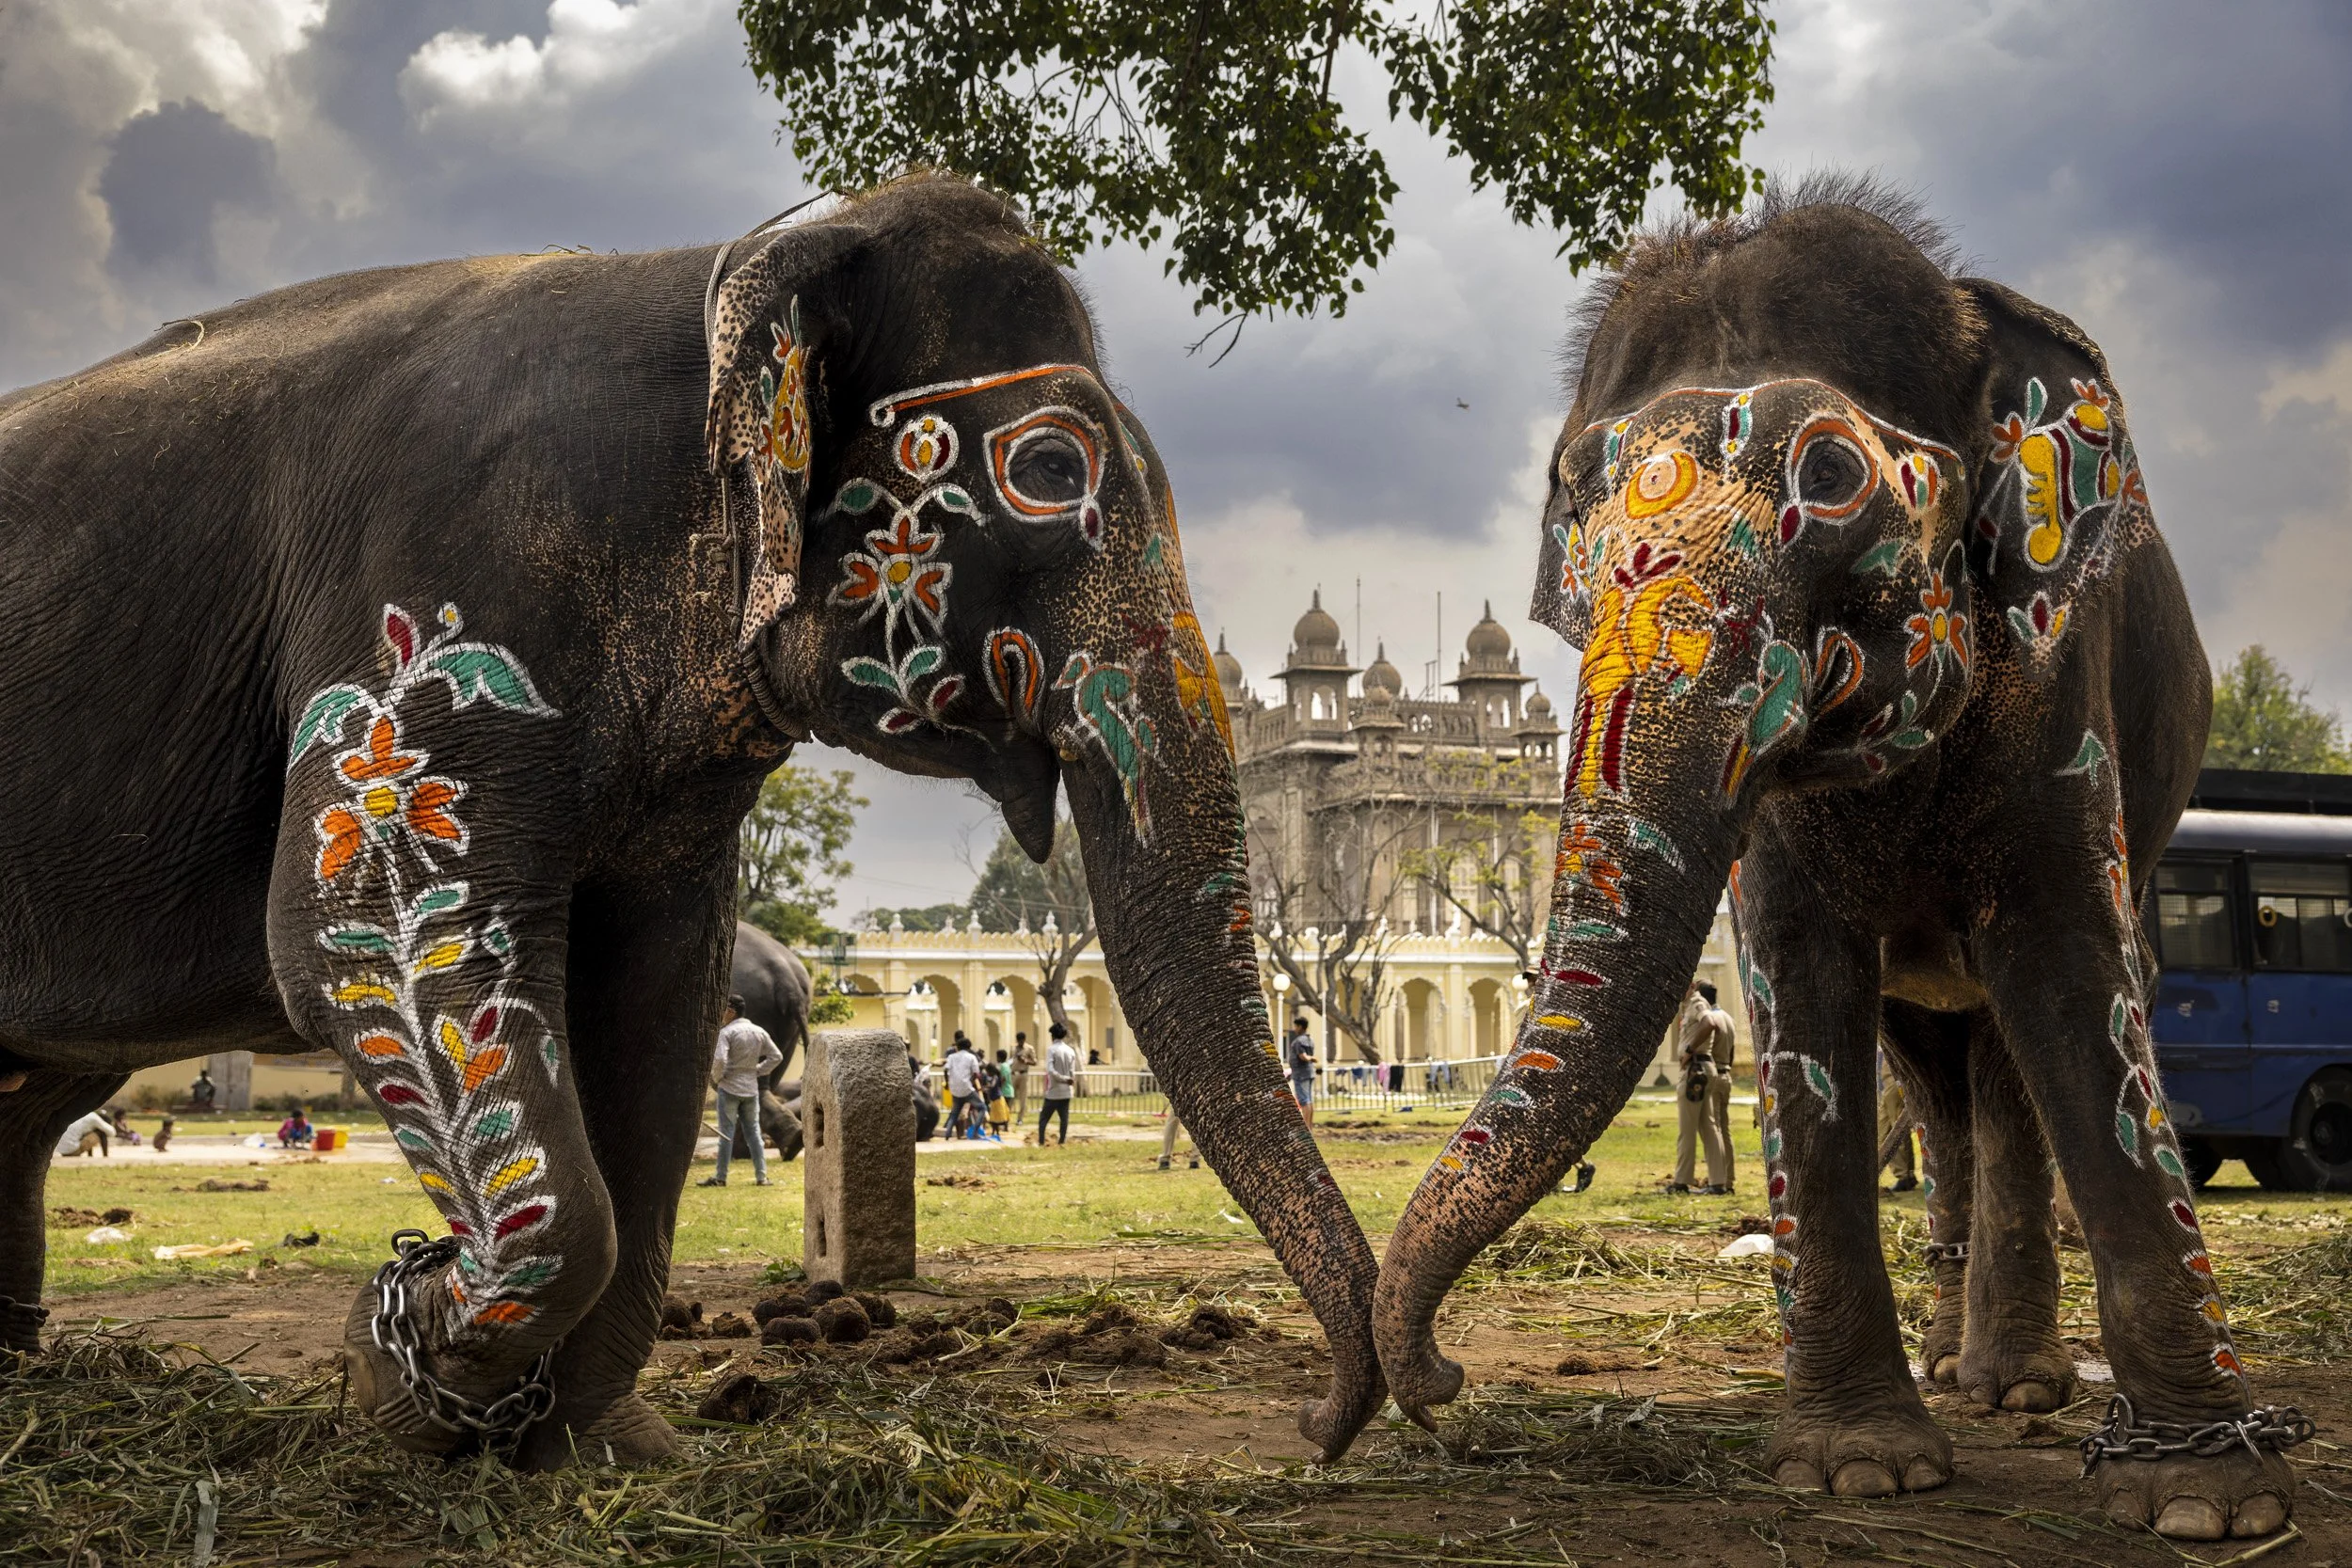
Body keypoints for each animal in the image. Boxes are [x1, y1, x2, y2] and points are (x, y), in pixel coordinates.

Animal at [0, 175, 1384, 1466]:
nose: (1319, 1421)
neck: (718, 277)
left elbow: (661, 1007)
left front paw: (599, 1449)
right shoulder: (425, 599)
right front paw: (388, 1374)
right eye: (1049, 473)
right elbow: (354, 940)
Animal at [1371, 178, 2306, 1540]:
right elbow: (1798, 979)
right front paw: (1857, 1465)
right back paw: (1958, 1361)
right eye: (1570, 500)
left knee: (2004, 1061)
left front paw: (2206, 1500)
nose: (1440, 1379)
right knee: (1934, 1074)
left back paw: (2014, 1383)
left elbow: (2073, 973)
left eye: (1829, 472)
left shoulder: (2059, 667)